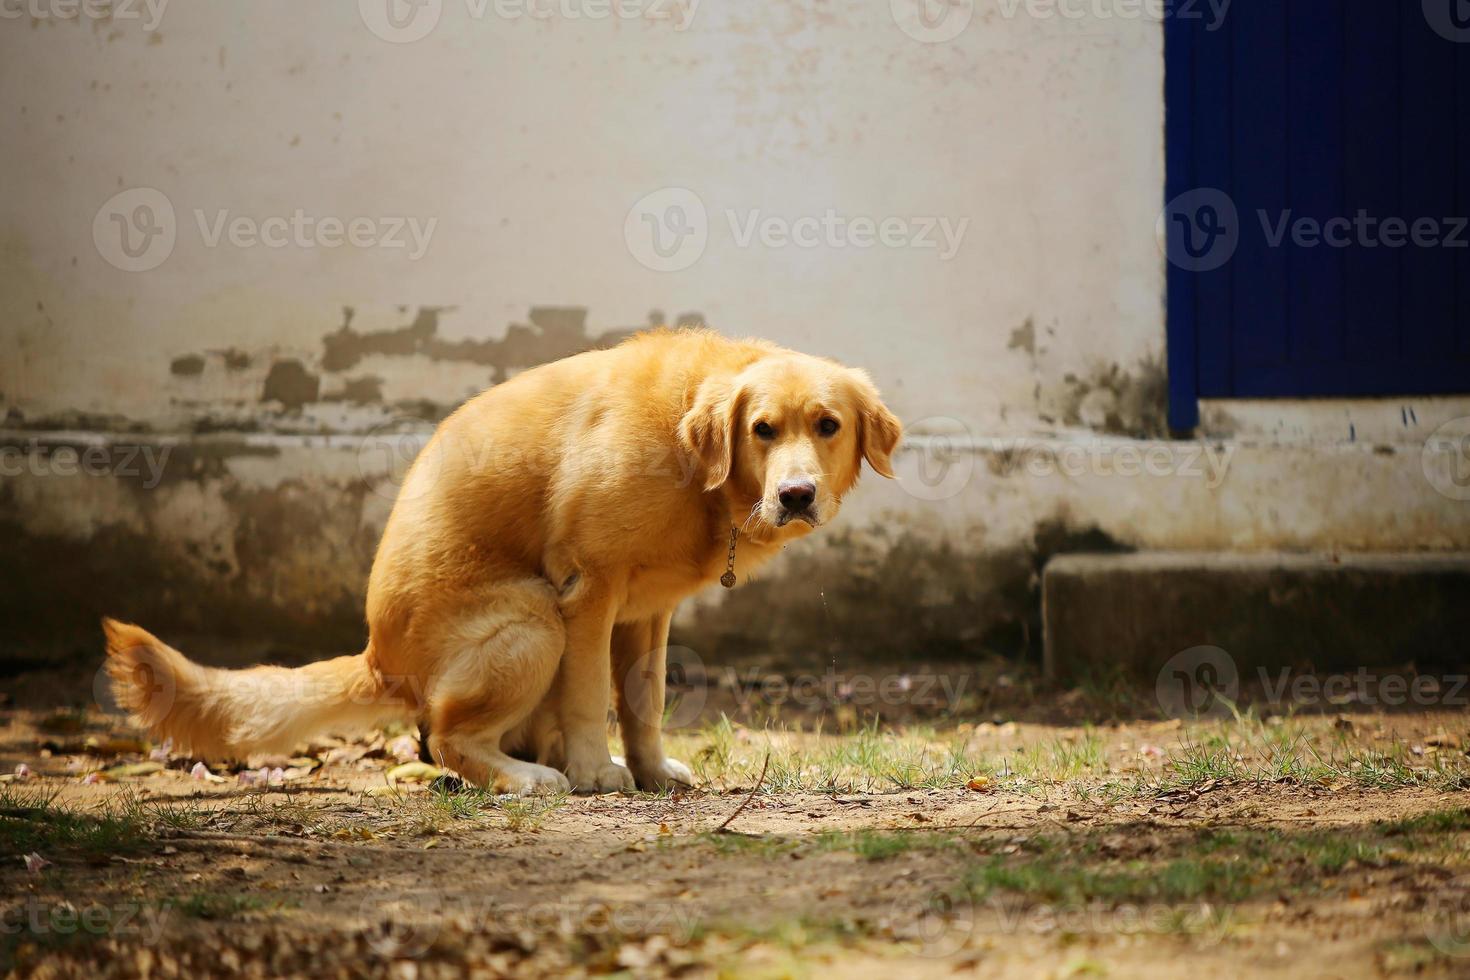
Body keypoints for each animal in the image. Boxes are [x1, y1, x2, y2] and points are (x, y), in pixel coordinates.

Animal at [100, 333, 893, 793]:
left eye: (828, 425)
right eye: (762, 429)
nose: (796, 495)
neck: (695, 464)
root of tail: (377, 657)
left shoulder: (649, 615)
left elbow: (644, 703)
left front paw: (649, 771)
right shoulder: (587, 593)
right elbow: (589, 699)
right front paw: (595, 772)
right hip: (533, 621)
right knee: (450, 740)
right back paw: (532, 776)